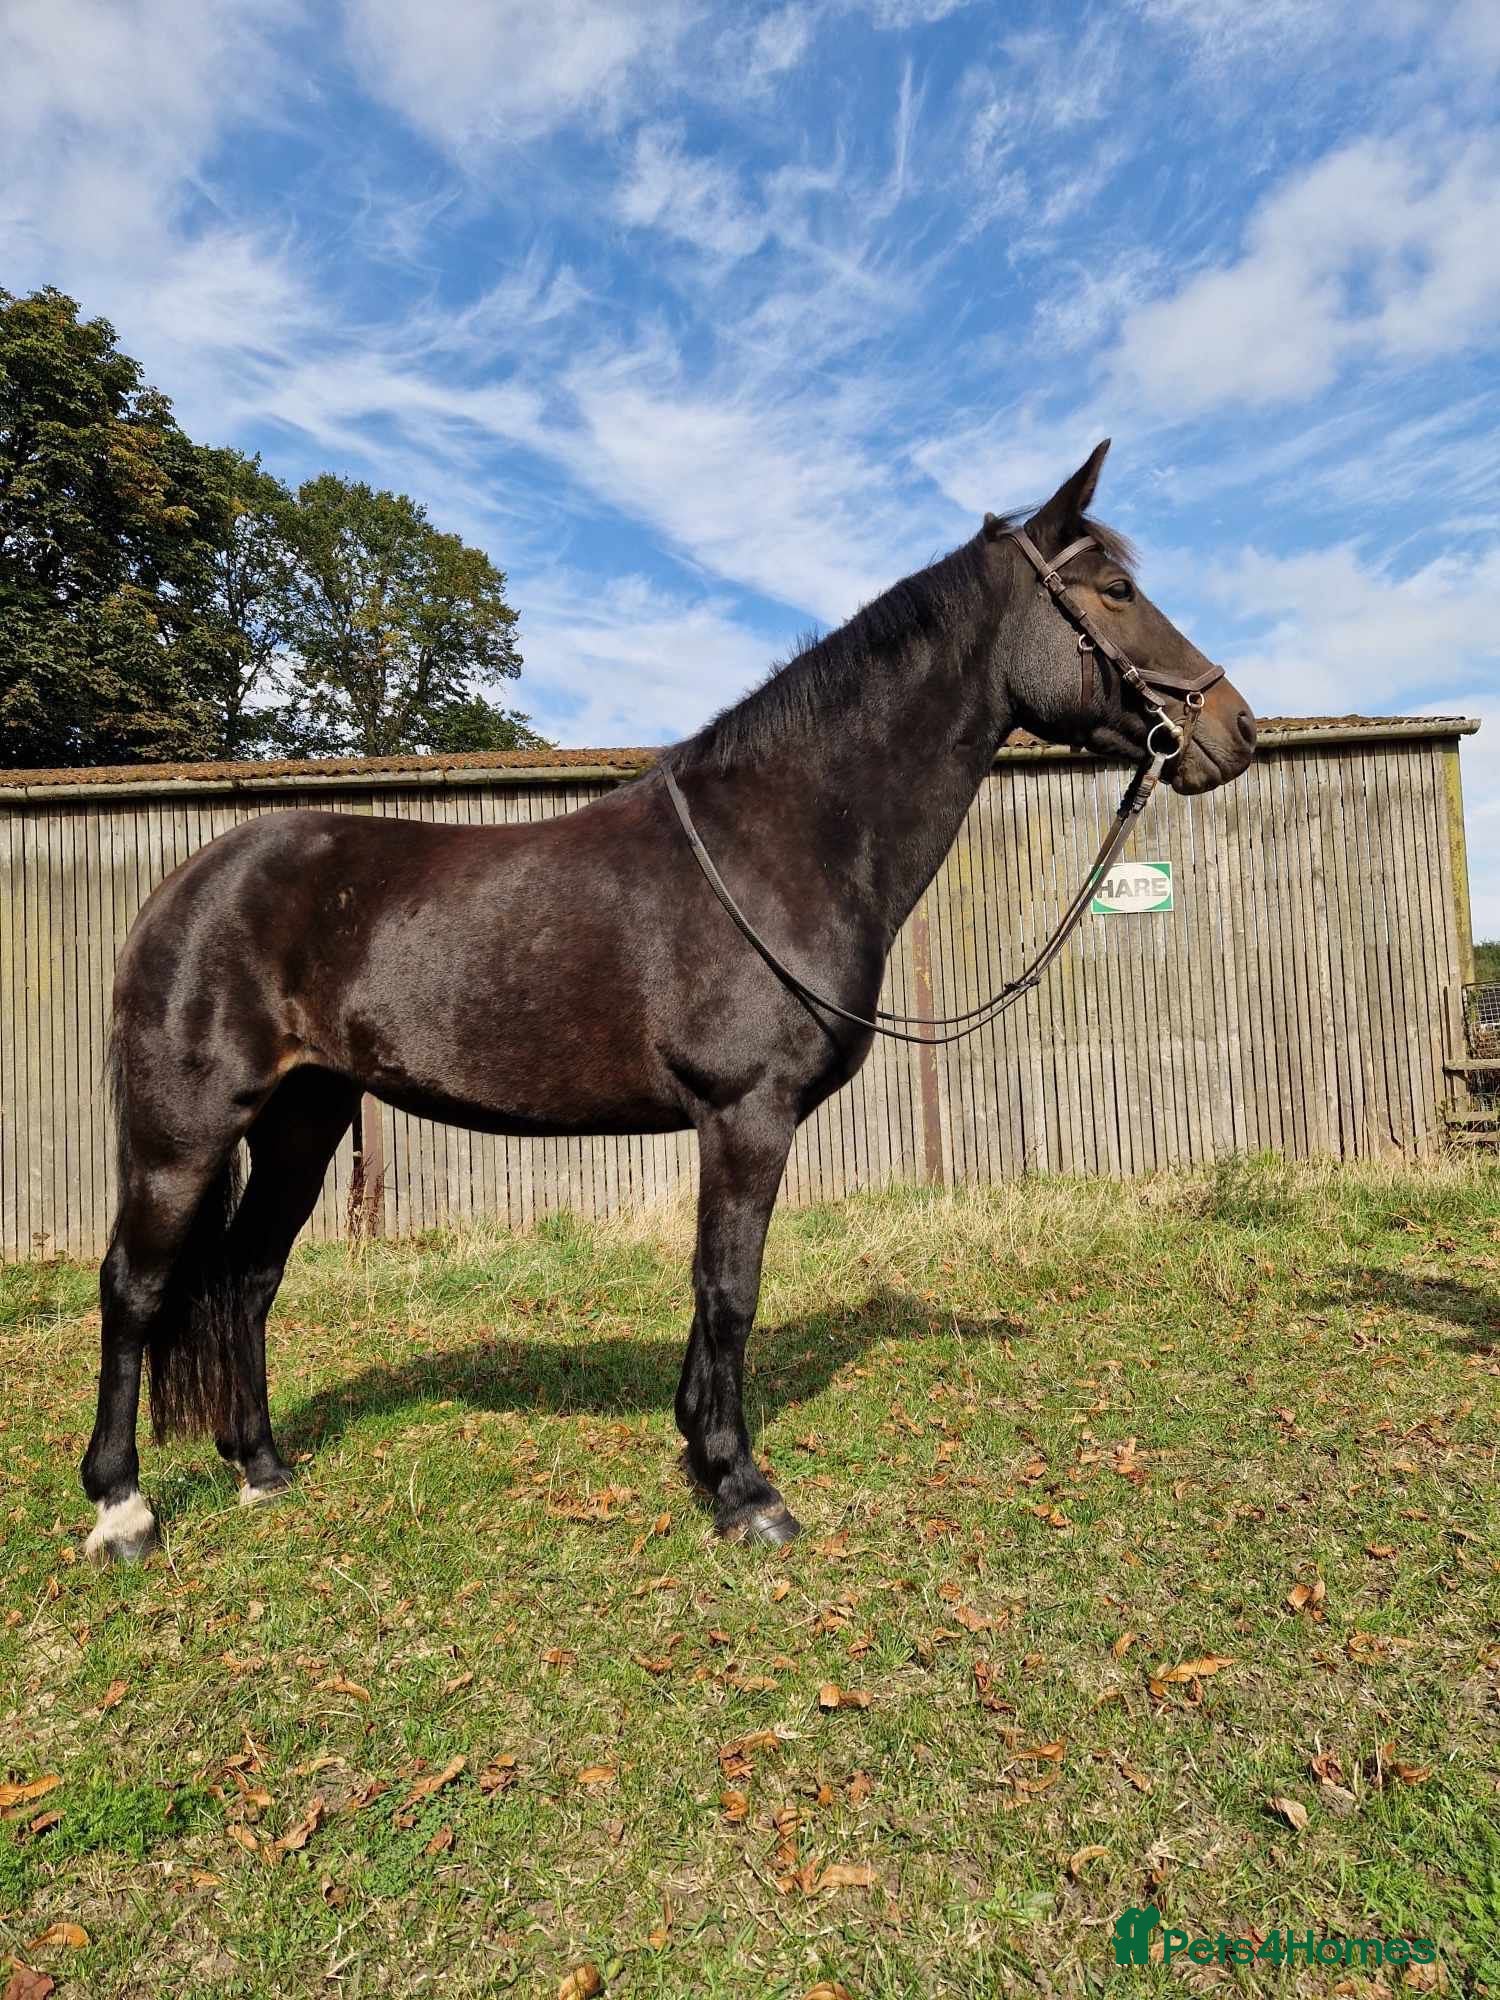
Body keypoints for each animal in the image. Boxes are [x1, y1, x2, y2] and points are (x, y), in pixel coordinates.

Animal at [81, 441, 1257, 1562]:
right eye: (1114, 588)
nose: (1235, 728)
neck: (782, 840)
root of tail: (182, 889)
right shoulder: (746, 1113)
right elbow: (730, 1289)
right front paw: (744, 1490)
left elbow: (712, 1289)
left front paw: (700, 1450)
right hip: (185, 1132)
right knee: (135, 1286)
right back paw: (122, 1507)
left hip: (302, 1121)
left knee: (248, 1276)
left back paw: (262, 1466)